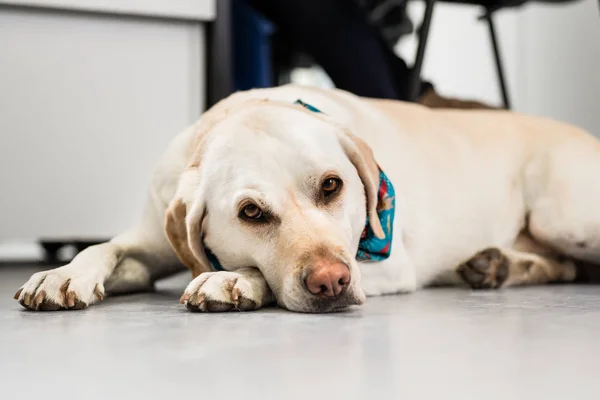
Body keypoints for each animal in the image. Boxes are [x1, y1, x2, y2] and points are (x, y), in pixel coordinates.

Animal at [12, 85, 600, 312]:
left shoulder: (387, 259)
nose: (332, 283)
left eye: (332, 186)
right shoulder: (153, 235)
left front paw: (232, 279)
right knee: (567, 267)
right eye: (251, 213)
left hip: (563, 215)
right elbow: (106, 247)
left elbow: (249, 274)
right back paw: (498, 265)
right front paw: (61, 274)